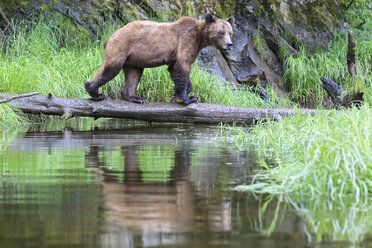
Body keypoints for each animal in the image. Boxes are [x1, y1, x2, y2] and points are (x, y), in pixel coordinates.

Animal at [85, 13, 234, 104]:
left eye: (230, 32)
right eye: (221, 33)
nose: (229, 44)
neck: (200, 38)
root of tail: (110, 37)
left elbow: (174, 69)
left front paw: (186, 92)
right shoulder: (186, 42)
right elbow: (183, 67)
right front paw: (188, 98)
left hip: (133, 59)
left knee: (134, 74)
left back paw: (136, 97)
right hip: (121, 47)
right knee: (110, 68)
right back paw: (95, 92)